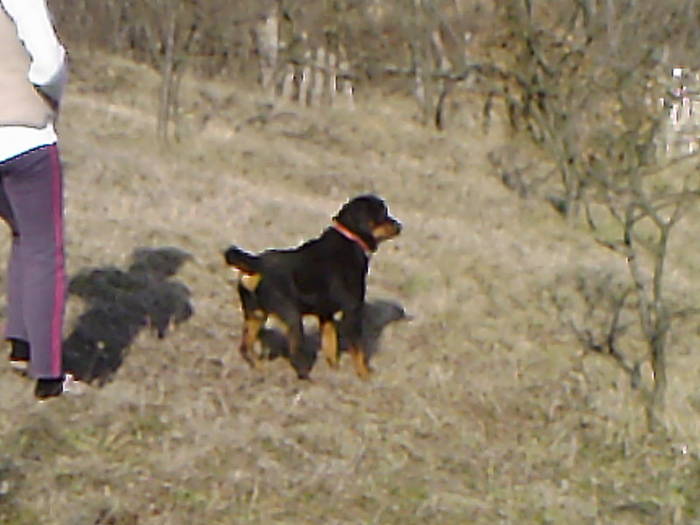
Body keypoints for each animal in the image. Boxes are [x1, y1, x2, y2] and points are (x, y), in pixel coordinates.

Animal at [224, 194, 400, 378]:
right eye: (382, 213)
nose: (399, 226)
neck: (351, 239)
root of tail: (256, 264)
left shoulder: (326, 315)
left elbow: (330, 344)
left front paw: (334, 368)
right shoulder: (353, 310)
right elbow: (358, 349)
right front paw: (364, 374)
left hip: (255, 315)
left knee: (245, 347)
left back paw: (260, 368)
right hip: (291, 317)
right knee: (294, 353)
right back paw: (306, 377)